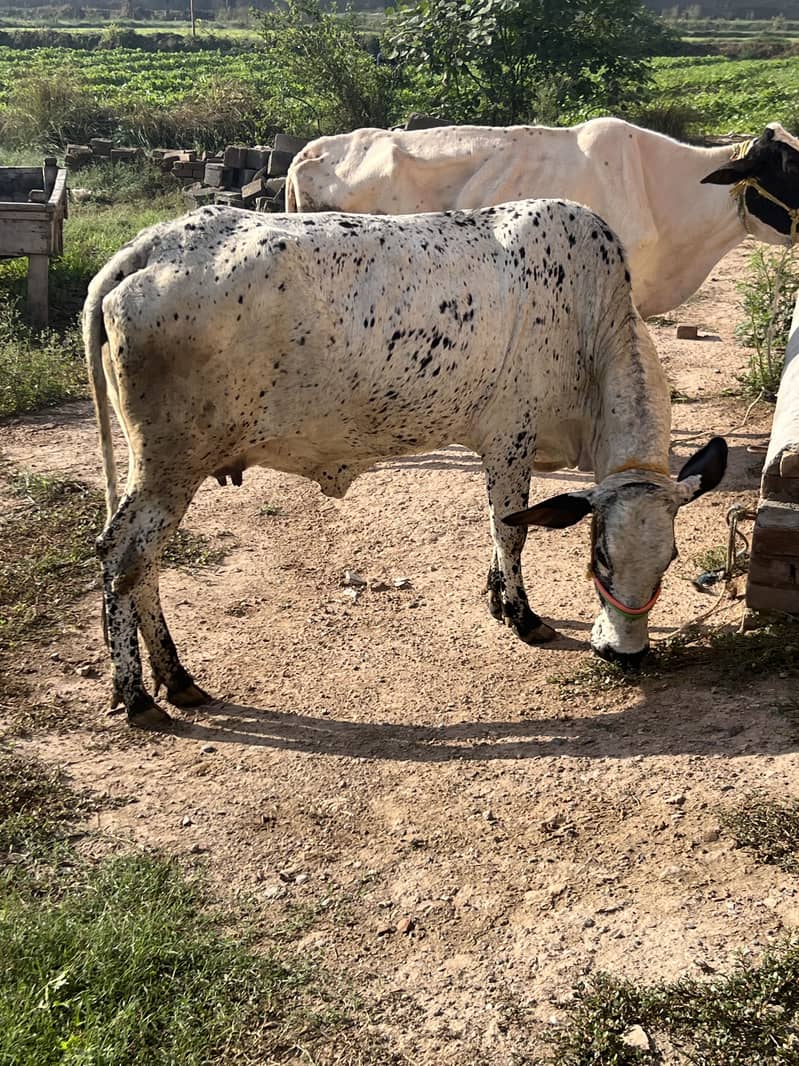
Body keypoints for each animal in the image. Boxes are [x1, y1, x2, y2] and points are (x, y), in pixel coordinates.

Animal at [83, 200, 728, 728]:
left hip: (159, 470)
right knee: (122, 556)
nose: (626, 655)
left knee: (143, 566)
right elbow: (511, 533)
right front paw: (523, 617)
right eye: (599, 556)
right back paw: (139, 695)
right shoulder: (510, 441)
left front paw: (496, 599)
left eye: (671, 559)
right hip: (170, 467)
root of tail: (150, 246)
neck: (590, 317)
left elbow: (499, 532)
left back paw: (175, 680)